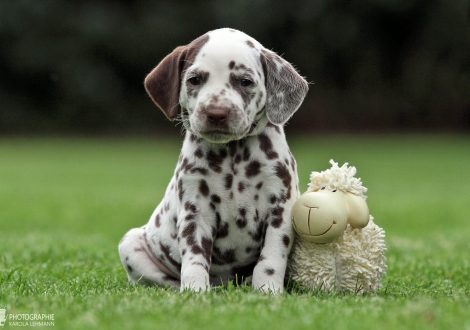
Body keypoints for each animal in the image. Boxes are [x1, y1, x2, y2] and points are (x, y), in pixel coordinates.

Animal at [117, 27, 308, 292]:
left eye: (245, 81)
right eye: (195, 79)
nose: (217, 113)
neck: (233, 155)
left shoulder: (280, 209)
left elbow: (270, 259)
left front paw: (268, 290)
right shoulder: (195, 212)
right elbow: (194, 259)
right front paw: (195, 291)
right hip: (131, 243)